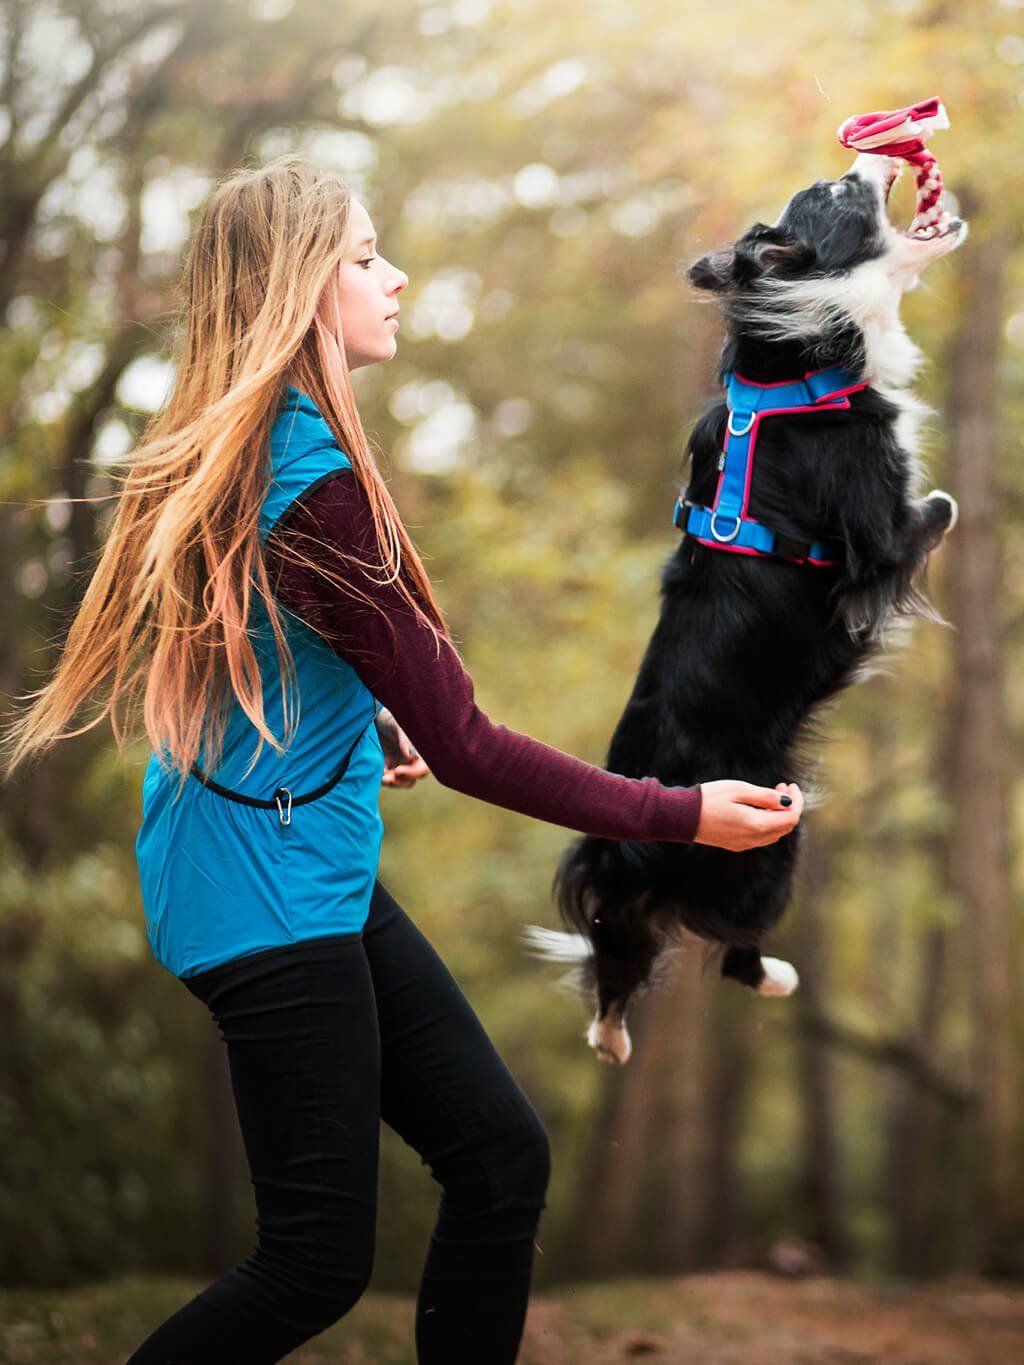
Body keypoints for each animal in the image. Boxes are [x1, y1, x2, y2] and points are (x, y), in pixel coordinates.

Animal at [532, 152, 966, 1064]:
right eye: (835, 195)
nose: (861, 154)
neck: (796, 357)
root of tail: (623, 845)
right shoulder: (877, 532)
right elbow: (937, 507)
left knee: (625, 951)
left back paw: (612, 1036)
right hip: (771, 836)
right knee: (721, 943)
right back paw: (762, 982)